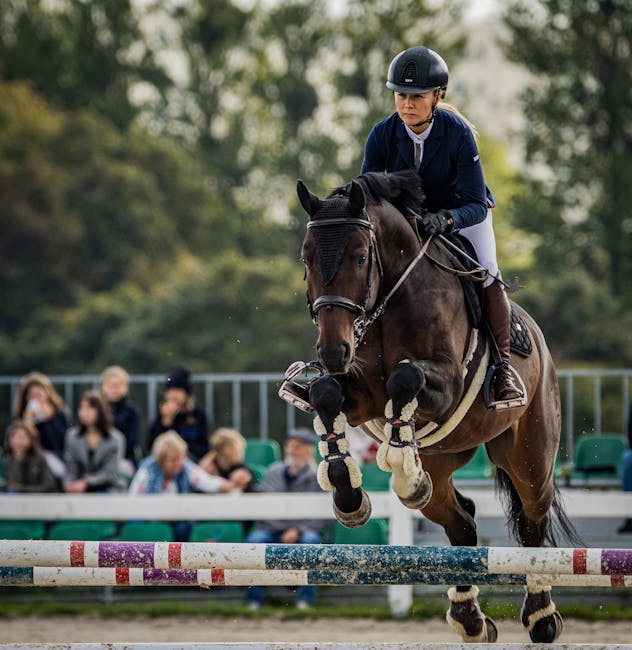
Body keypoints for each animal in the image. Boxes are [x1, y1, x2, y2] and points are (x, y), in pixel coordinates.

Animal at [288, 168, 580, 644]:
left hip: (529, 454)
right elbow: (326, 394)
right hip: (445, 460)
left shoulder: (446, 385)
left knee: (533, 519)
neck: (387, 302)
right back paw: (469, 616)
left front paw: (399, 463)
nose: (332, 351)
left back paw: (540, 616)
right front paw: (350, 495)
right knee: (460, 520)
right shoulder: (361, 395)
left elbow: (405, 377)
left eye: (359, 258)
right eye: (306, 259)